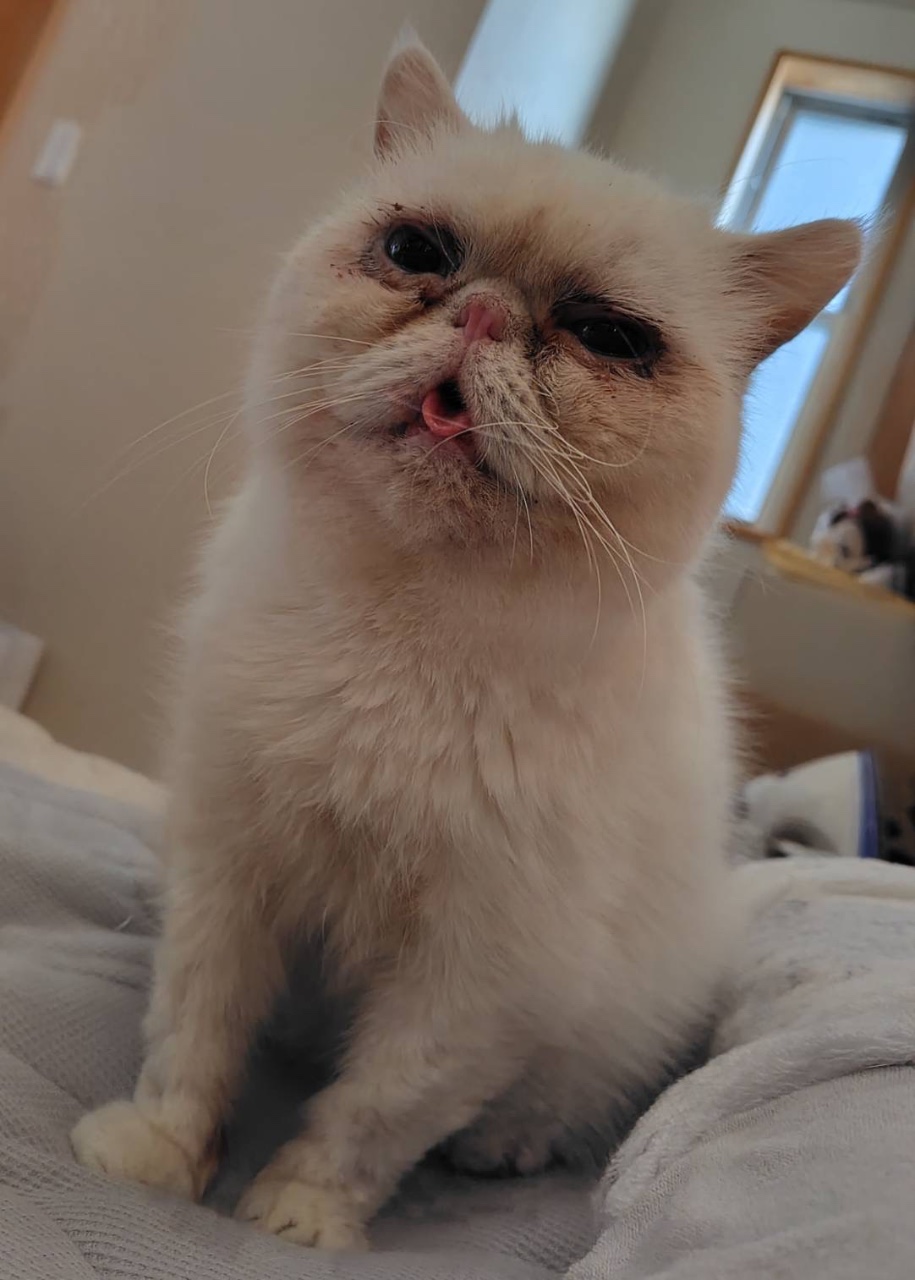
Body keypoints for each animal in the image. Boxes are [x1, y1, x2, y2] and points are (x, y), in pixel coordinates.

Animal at [70, 40, 860, 1251]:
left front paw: (293, 1216)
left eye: (610, 336)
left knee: (557, 1107)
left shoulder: (483, 978)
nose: (484, 315)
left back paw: (502, 1149)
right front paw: (158, 1160)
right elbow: (194, 1037)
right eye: (418, 254)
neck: (402, 629)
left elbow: (369, 1114)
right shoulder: (228, 864)